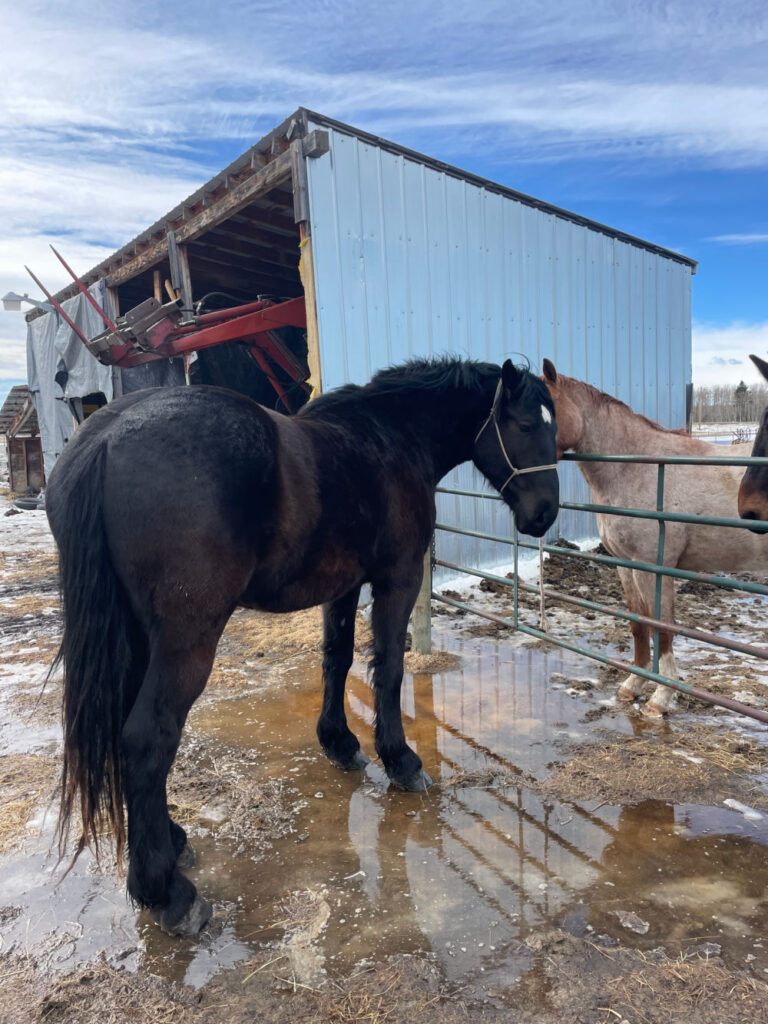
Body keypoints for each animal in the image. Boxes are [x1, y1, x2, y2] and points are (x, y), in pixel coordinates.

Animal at [46, 356, 559, 937]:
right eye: (525, 425)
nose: (546, 513)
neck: (391, 435)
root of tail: (105, 439)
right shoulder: (397, 579)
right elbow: (388, 667)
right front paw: (400, 760)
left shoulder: (344, 585)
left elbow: (338, 659)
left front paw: (340, 743)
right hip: (185, 639)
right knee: (147, 738)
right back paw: (167, 892)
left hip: (133, 634)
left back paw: (172, 842)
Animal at [541, 358, 765, 716]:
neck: (636, 466)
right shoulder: (627, 564)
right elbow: (639, 623)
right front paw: (633, 684)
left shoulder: (655, 566)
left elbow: (663, 626)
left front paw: (660, 697)